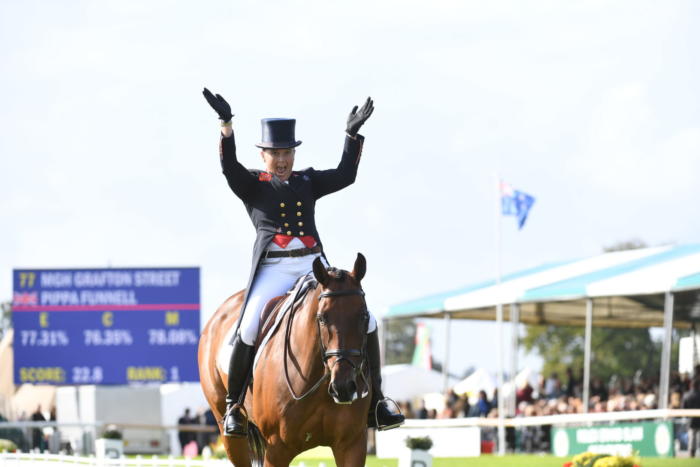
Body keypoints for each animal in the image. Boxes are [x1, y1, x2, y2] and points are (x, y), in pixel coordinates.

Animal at [198, 254, 372, 467]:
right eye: (322, 318)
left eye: (364, 316)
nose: (344, 387)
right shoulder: (276, 449)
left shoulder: (352, 444)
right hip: (229, 434)